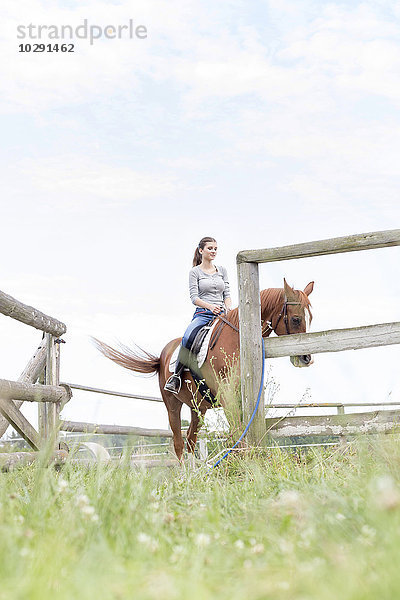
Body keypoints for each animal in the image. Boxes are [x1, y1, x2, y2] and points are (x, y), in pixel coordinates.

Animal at [95, 278, 314, 462]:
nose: (306, 358)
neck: (237, 339)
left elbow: (240, 430)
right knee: (179, 443)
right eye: (296, 319)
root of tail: (163, 355)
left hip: (197, 407)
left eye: (310, 318)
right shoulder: (226, 395)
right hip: (172, 405)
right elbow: (237, 430)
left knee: (191, 440)